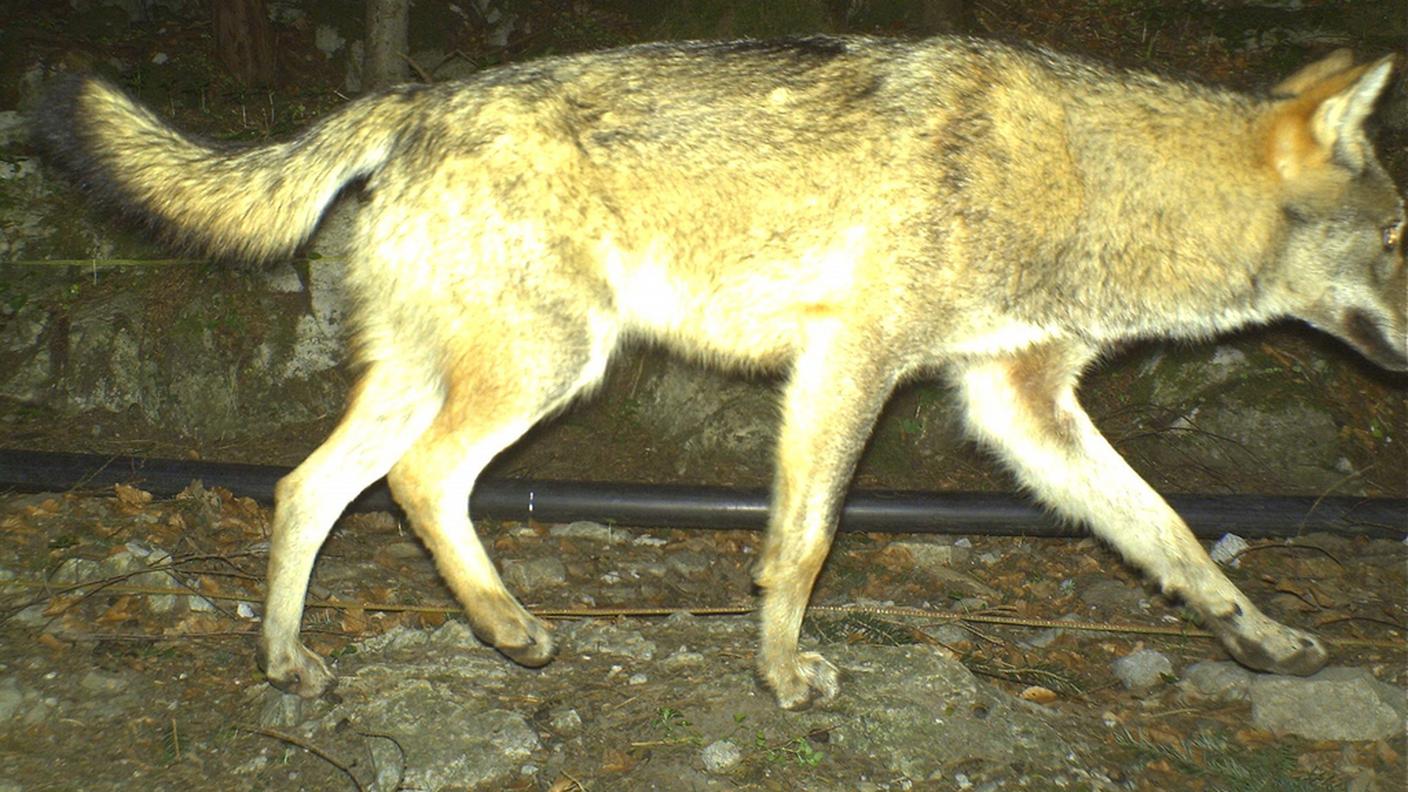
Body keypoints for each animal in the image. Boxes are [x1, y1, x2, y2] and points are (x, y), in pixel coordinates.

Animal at [33, 36, 1405, 710]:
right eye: (1398, 239)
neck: (1088, 182)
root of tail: (407, 105)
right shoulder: (850, 364)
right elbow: (802, 545)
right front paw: (781, 676)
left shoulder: (1019, 404)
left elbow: (1168, 534)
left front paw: (1262, 637)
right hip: (550, 367)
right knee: (420, 483)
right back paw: (504, 626)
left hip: (439, 378)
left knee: (302, 491)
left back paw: (288, 664)